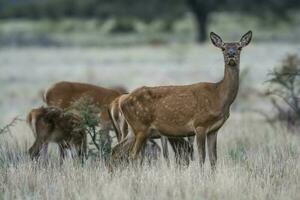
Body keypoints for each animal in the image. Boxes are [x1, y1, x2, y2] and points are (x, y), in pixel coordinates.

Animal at [111, 30, 252, 169]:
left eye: (239, 47)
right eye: (223, 48)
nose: (231, 55)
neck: (218, 96)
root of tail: (121, 100)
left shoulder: (214, 130)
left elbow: (213, 160)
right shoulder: (200, 124)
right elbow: (202, 158)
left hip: (133, 129)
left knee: (116, 150)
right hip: (141, 127)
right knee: (132, 155)